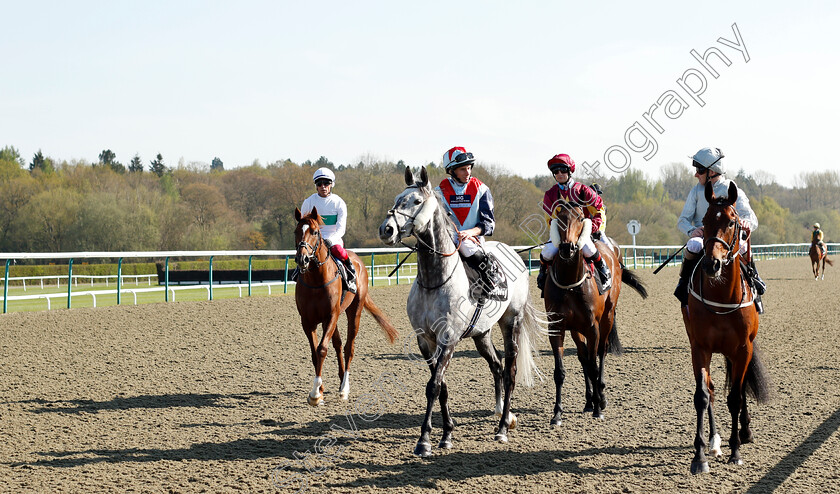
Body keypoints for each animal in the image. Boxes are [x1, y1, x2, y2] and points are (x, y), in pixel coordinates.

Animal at [296, 206, 400, 408]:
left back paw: (344, 387)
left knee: (348, 347)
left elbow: (322, 349)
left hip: (354, 311)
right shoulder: (308, 321)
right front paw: (319, 390)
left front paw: (315, 394)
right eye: (296, 231)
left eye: (314, 232)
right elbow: (315, 353)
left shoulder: (330, 315)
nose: (302, 259)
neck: (316, 281)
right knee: (337, 344)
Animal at [378, 166, 548, 456]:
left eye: (416, 201)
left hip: (511, 323)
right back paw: (501, 411)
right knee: (497, 365)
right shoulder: (425, 340)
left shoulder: (449, 338)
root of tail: (515, 256)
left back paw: (503, 427)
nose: (386, 229)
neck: (434, 280)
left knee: (510, 371)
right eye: (397, 199)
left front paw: (424, 440)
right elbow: (441, 385)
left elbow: (434, 385)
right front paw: (446, 433)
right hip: (482, 334)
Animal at [544, 201, 648, 424]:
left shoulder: (593, 327)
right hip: (576, 329)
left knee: (601, 352)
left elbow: (593, 364)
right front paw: (557, 413)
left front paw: (600, 406)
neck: (570, 283)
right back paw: (589, 400)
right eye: (560, 218)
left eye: (579, 218)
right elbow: (560, 371)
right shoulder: (557, 327)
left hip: (607, 318)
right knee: (583, 356)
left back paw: (600, 396)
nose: (567, 247)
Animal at [684, 182, 772, 474]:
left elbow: (735, 396)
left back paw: (744, 432)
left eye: (733, 222)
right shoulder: (700, 347)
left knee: (740, 387)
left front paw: (735, 451)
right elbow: (702, 395)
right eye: (704, 221)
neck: (722, 296)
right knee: (712, 390)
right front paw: (700, 455)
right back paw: (714, 441)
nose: (712, 264)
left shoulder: (743, 348)